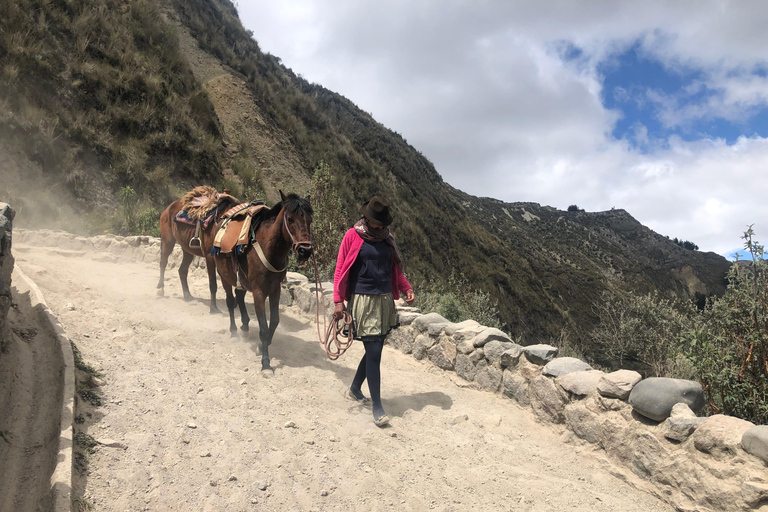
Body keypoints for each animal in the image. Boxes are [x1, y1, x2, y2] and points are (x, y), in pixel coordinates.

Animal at [213, 190, 312, 370]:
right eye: (290, 219)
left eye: (310, 220)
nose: (305, 251)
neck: (269, 249)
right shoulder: (259, 292)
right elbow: (264, 328)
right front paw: (266, 363)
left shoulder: (275, 289)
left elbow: (274, 321)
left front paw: (261, 346)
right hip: (225, 276)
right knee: (231, 301)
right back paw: (233, 331)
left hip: (242, 281)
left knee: (239, 296)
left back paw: (245, 326)